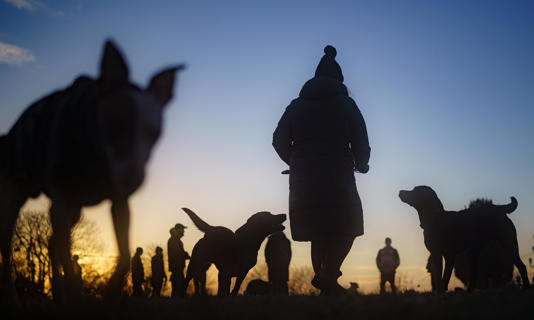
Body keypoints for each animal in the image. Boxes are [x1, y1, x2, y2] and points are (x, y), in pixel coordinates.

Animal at [0, 40, 185, 302]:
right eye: (115, 124)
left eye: (155, 134)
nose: (133, 181)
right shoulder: (61, 202)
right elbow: (69, 262)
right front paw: (78, 294)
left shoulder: (119, 204)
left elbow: (125, 256)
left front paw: (109, 293)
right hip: (15, 195)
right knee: (9, 247)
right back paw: (17, 298)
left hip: (74, 212)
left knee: (52, 242)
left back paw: (60, 294)